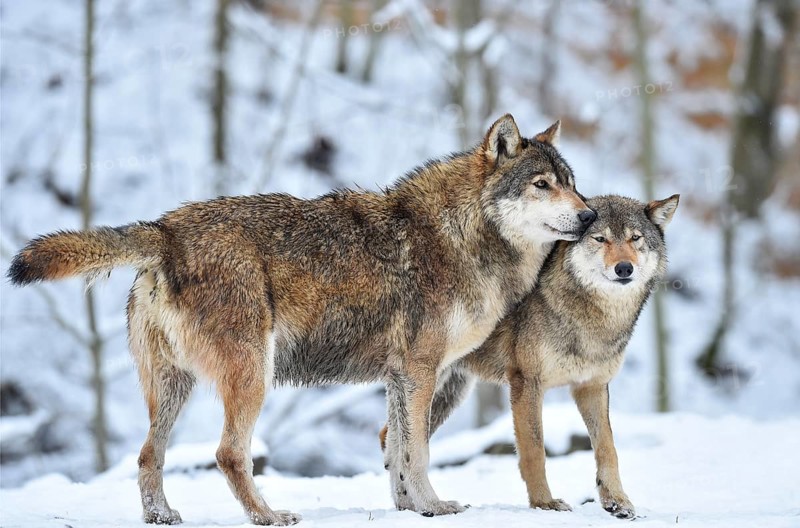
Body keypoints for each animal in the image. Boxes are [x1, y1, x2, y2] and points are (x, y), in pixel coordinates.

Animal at [7, 114, 595, 525]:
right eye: (542, 185)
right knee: (227, 454)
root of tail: (166, 229)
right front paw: (433, 507)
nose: (590, 215)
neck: (465, 236)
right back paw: (268, 516)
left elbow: (397, 449)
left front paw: (409, 510)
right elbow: (417, 453)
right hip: (252, 375)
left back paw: (163, 517)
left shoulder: (401, 378)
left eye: (572, 182)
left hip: (175, 386)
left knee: (148, 454)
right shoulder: (420, 370)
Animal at [380, 194, 679, 519]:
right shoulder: (526, 383)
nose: (624, 268)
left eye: (635, 238)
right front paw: (544, 503)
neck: (591, 319)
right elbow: (535, 451)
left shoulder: (592, 387)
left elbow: (607, 448)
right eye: (600, 239)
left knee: (388, 437)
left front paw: (617, 501)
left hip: (446, 395)